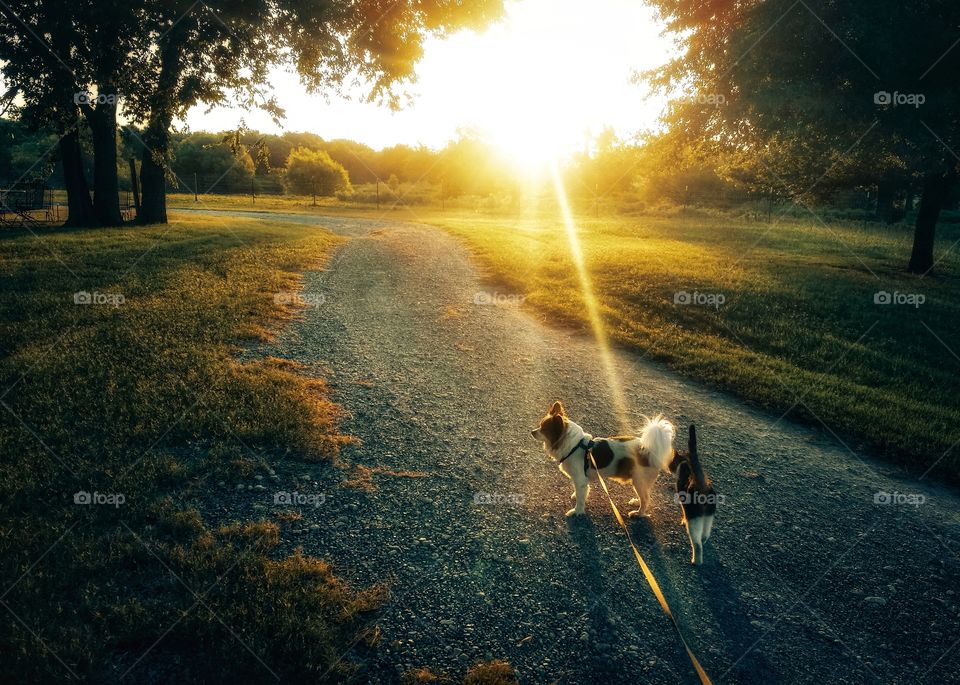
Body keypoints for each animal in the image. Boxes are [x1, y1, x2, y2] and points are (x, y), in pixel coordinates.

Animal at [532, 398, 676, 516]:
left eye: (543, 429)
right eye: (540, 425)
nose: (532, 432)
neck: (575, 445)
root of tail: (649, 449)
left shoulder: (580, 480)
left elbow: (580, 499)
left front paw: (577, 511)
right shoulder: (581, 480)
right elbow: (580, 493)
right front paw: (576, 497)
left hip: (639, 481)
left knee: (646, 499)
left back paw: (638, 513)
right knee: (646, 496)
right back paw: (636, 502)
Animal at [672, 424, 716, 564]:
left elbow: (683, 510)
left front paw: (682, 520)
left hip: (694, 520)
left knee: (697, 544)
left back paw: (696, 561)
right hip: (708, 518)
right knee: (705, 535)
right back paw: (704, 541)